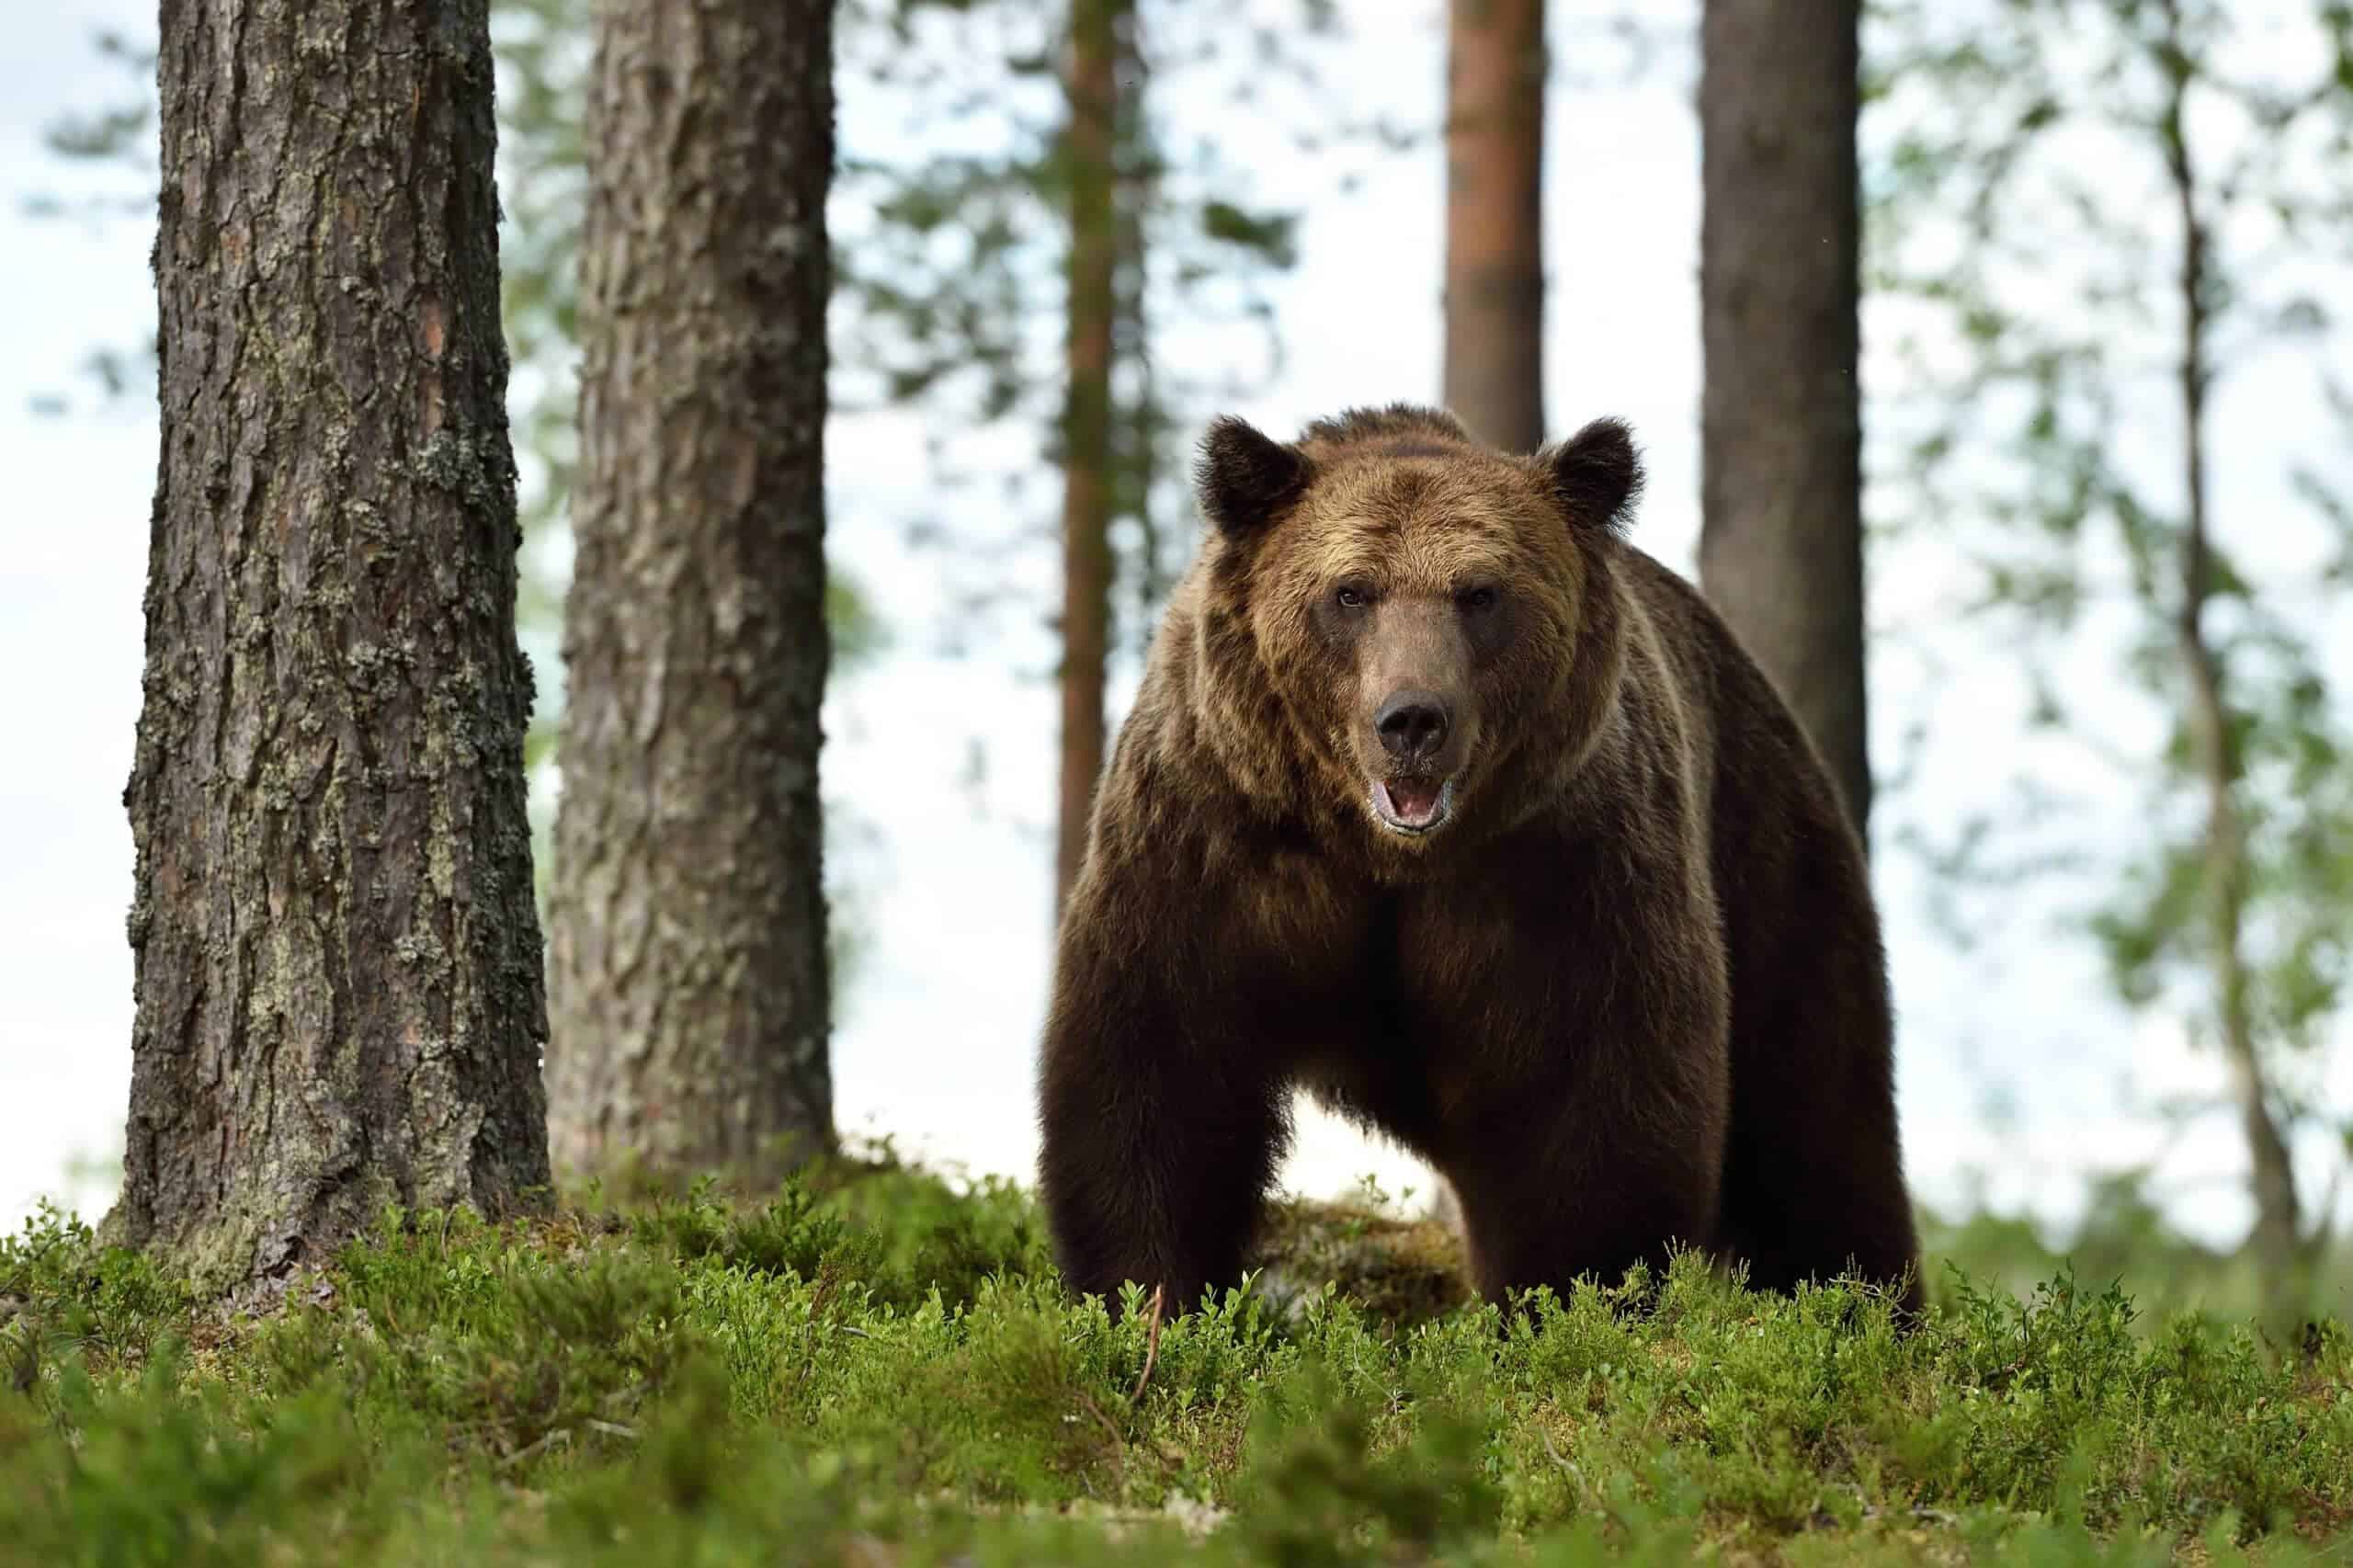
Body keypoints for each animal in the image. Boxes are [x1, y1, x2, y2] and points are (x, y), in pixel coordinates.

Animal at [1035, 403, 1922, 1321]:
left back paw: (1862, 1304)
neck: (1388, 858)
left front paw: (1567, 1301)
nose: (1412, 720)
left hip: (1765, 850)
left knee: (1815, 1113)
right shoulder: (1212, 841)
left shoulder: (1564, 870)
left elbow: (1592, 1113)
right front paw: (1150, 1301)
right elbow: (1156, 1076)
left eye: (1481, 593)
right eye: (1350, 592)